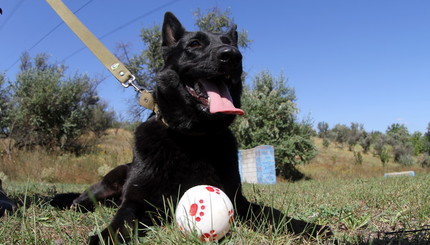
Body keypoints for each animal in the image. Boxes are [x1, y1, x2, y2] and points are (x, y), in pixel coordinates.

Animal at [51, 12, 332, 244]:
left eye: (232, 44)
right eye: (195, 44)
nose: (232, 55)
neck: (193, 137)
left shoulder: (239, 202)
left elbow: (272, 213)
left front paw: (308, 227)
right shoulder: (135, 201)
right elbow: (122, 221)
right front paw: (105, 237)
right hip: (111, 179)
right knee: (82, 200)